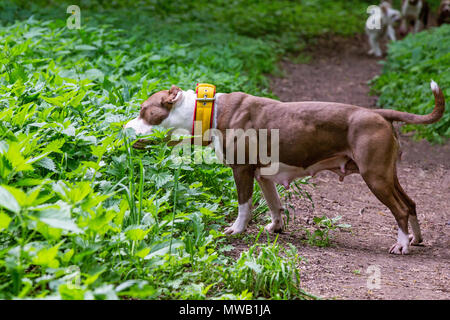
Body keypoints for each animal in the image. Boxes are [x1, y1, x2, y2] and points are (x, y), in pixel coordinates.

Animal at [125, 80, 444, 255]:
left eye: (143, 110)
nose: (125, 127)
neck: (209, 110)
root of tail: (378, 114)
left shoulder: (241, 170)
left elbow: (244, 205)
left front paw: (236, 230)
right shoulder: (261, 173)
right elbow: (274, 203)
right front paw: (276, 227)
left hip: (375, 177)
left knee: (400, 209)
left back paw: (401, 245)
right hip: (387, 175)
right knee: (410, 204)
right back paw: (415, 239)